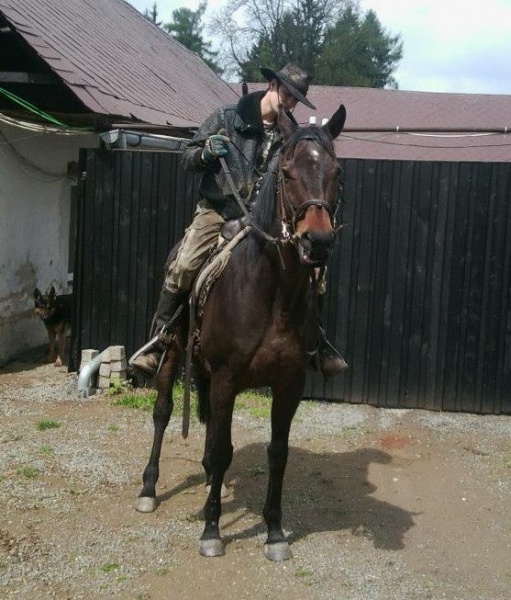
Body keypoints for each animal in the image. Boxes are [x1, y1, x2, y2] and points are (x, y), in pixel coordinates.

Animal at [134, 103, 347, 562]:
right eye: (287, 172)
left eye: (337, 172)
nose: (317, 241)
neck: (272, 294)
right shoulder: (227, 378)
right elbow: (222, 449)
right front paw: (212, 530)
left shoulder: (289, 383)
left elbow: (277, 453)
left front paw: (275, 532)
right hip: (174, 354)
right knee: (163, 412)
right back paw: (148, 488)